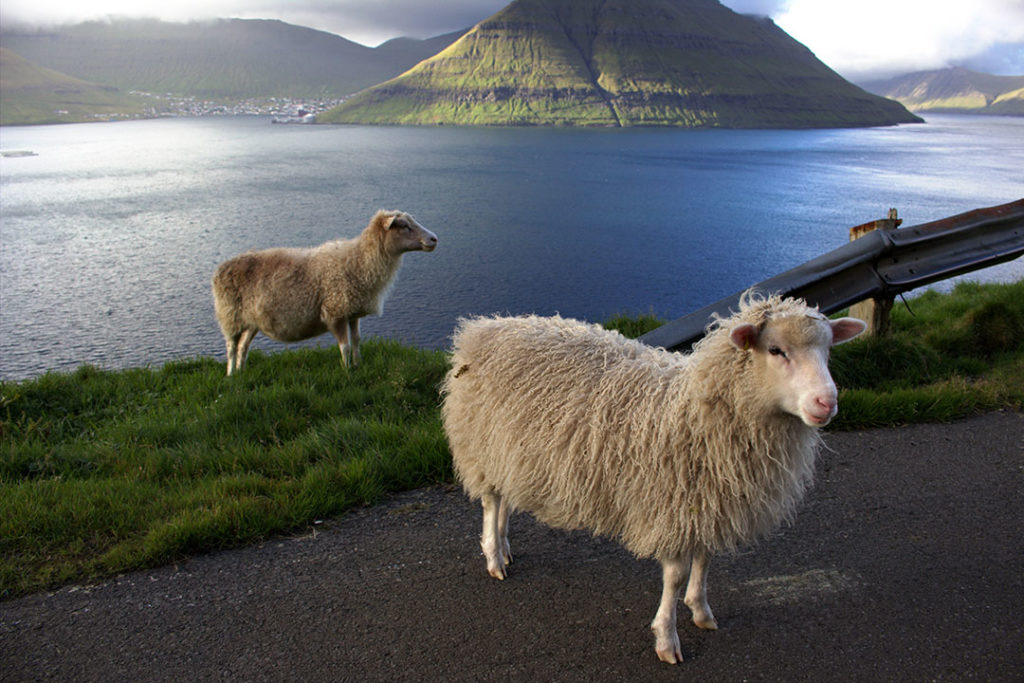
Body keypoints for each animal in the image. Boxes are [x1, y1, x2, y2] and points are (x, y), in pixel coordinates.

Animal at [211, 210, 436, 376]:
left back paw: (241, 372)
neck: (359, 261)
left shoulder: (352, 312)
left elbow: (357, 341)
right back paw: (231, 375)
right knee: (231, 347)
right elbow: (344, 346)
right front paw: (347, 372)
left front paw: (358, 365)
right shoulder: (335, 311)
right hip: (230, 316)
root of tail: (221, 268)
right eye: (404, 226)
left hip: (250, 321)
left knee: (243, 347)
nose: (434, 239)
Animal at [440, 292, 864, 663]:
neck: (695, 411)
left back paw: (505, 545)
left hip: (510, 453)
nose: (827, 402)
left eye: (828, 350)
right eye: (776, 350)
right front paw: (667, 638)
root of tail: (482, 328)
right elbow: (675, 577)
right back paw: (494, 556)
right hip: (481, 447)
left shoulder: (709, 500)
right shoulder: (672, 505)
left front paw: (701, 611)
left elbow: (705, 560)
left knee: (504, 501)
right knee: (491, 502)